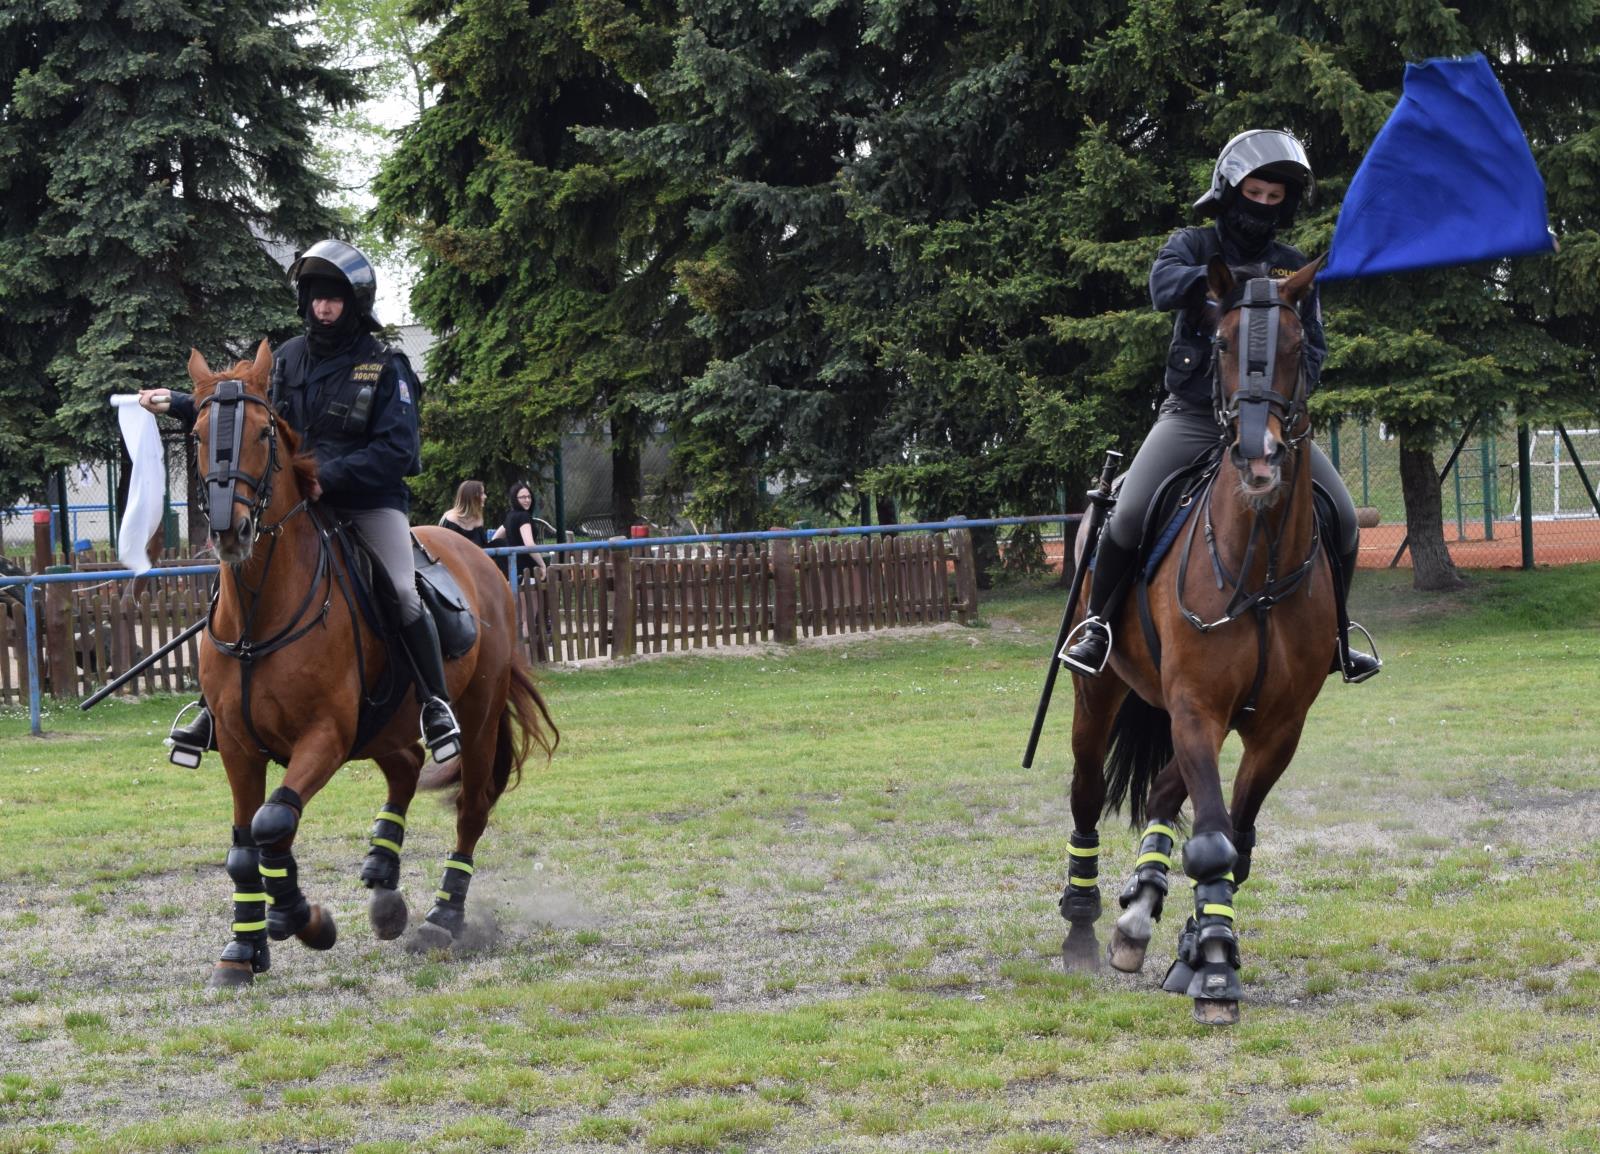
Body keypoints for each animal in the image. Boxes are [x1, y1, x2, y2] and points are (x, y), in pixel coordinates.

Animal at [183, 337, 550, 985]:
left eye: (263, 433)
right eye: (199, 434)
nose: (231, 529)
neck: (260, 614)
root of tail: (480, 558)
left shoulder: (325, 736)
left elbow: (273, 825)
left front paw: (304, 920)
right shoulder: (238, 744)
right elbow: (243, 849)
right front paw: (244, 947)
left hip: (476, 718)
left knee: (471, 810)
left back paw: (442, 917)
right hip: (384, 725)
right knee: (405, 767)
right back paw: (384, 881)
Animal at [1056, 256, 1331, 1024]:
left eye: (1297, 346)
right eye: (1223, 340)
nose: (1258, 458)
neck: (1256, 563)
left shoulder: (1276, 725)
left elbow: (1233, 840)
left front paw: (1200, 945)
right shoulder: (1195, 705)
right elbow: (1210, 840)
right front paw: (1212, 967)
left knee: (1164, 794)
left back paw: (1141, 912)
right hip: (1101, 695)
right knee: (1087, 791)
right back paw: (1085, 921)